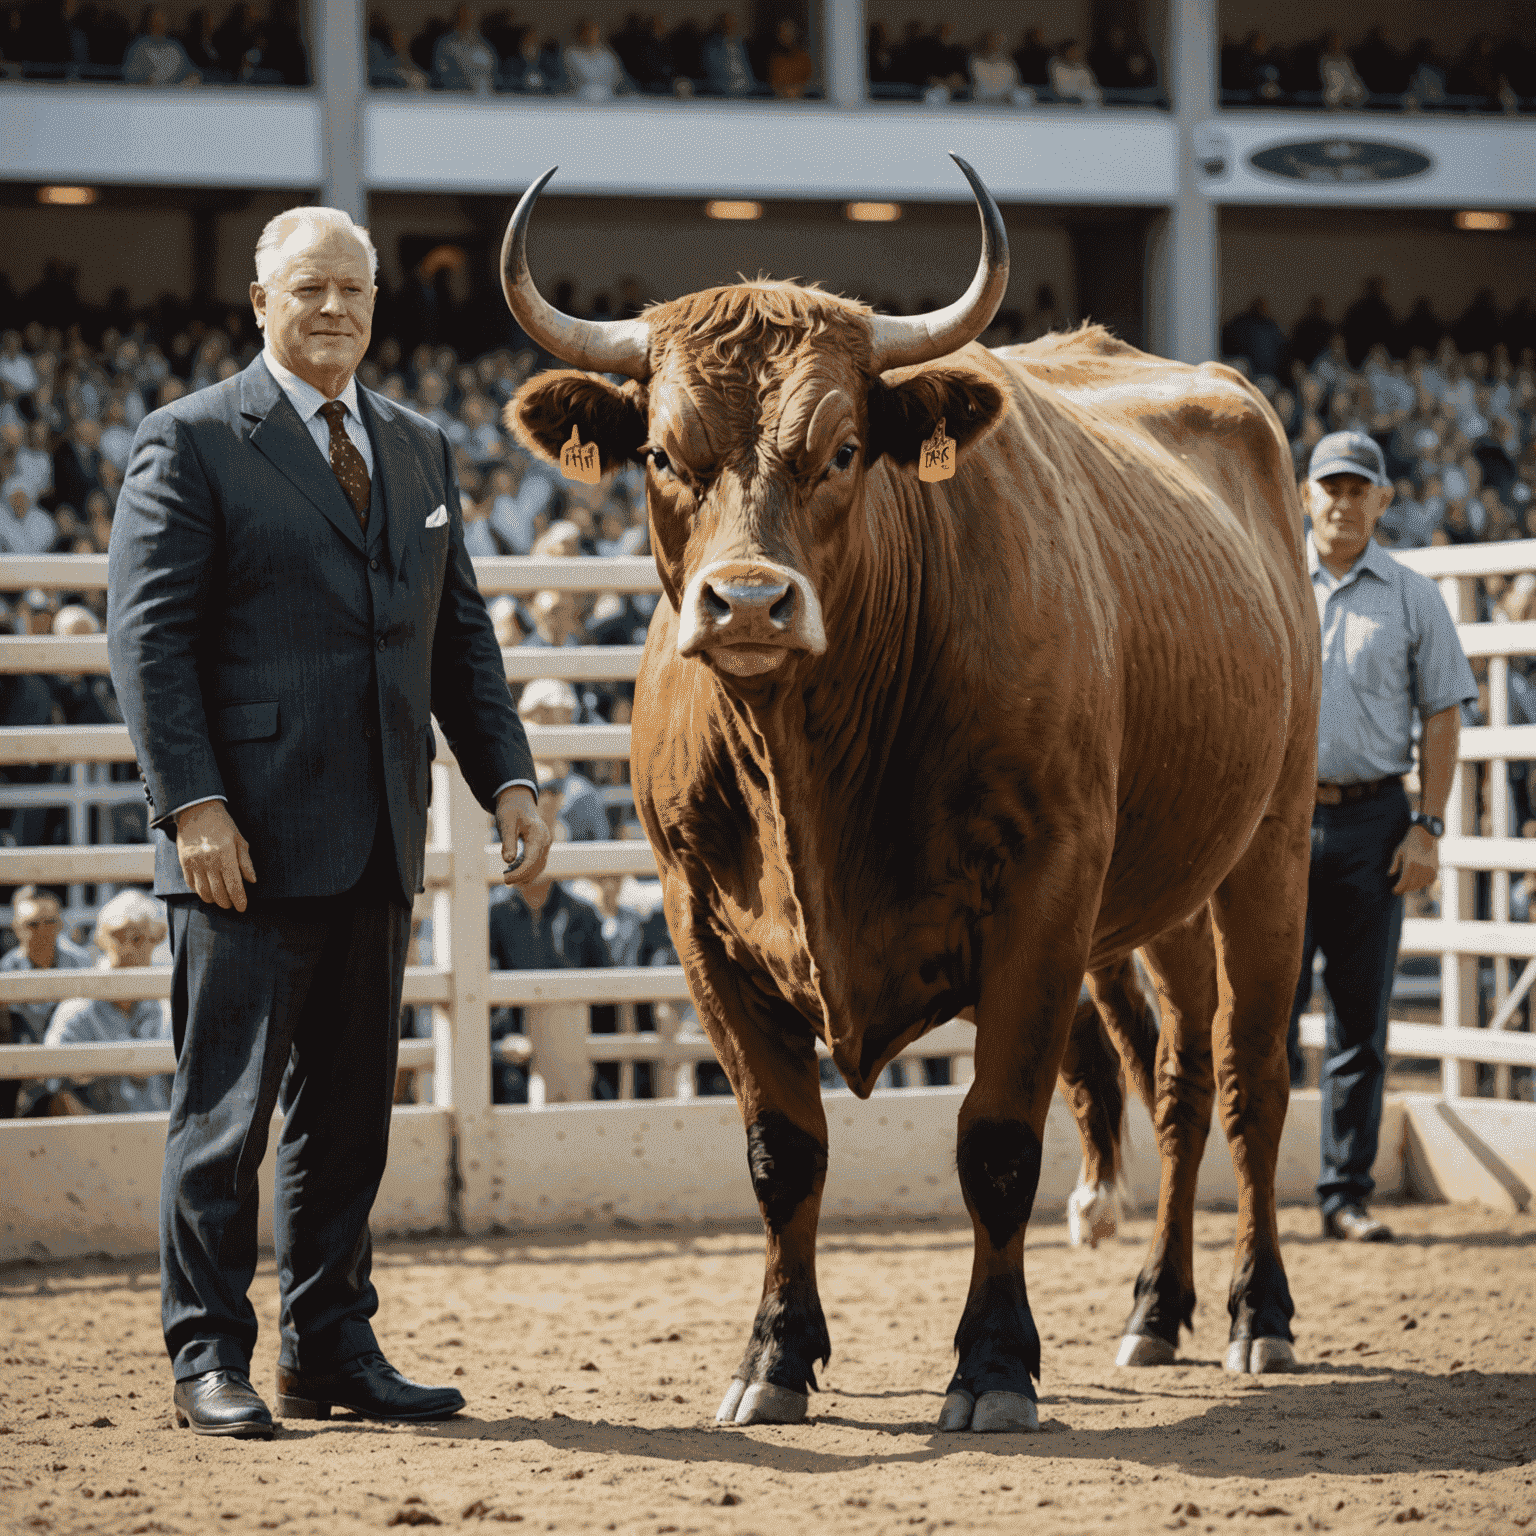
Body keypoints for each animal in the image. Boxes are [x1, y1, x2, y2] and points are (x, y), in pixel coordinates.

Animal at [497, 155, 1314, 1425]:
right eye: (664, 456)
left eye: (840, 450)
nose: (746, 603)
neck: (809, 769)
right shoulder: (701, 923)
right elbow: (783, 1151)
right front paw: (774, 1355)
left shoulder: (1043, 903)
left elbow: (999, 1143)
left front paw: (993, 1364)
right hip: (1173, 892)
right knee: (1180, 1082)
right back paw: (1156, 1308)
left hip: (1270, 850)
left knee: (1250, 1082)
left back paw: (1255, 1313)